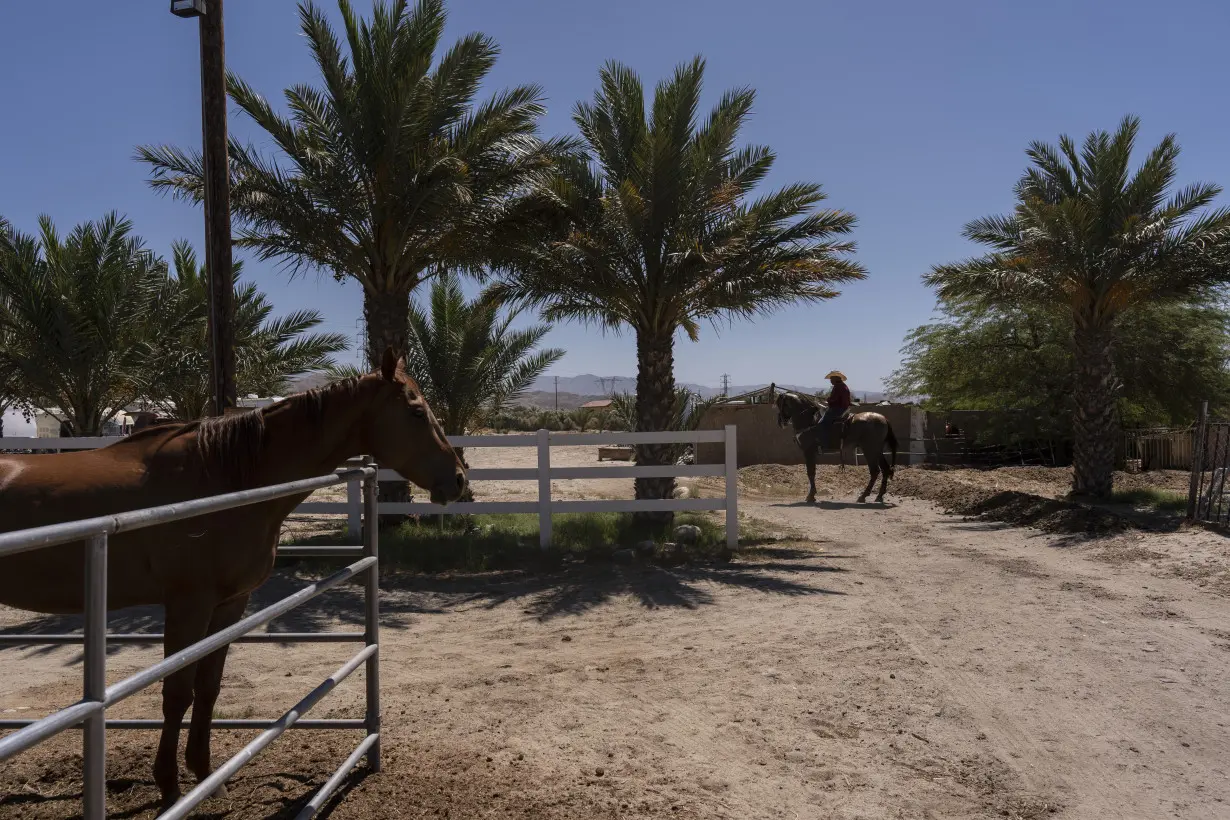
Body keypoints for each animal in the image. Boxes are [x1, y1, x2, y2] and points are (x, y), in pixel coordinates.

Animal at [0, 346, 464, 806]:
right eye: (417, 411)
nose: (459, 479)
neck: (223, 478)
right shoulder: (188, 604)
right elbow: (177, 692)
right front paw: (169, 786)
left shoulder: (228, 604)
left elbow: (208, 687)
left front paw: (207, 776)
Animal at [772, 388, 900, 504]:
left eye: (781, 404)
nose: (781, 422)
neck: (809, 420)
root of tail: (884, 419)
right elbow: (812, 472)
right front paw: (812, 495)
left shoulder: (808, 451)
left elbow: (810, 472)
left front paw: (811, 496)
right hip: (877, 450)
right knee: (885, 469)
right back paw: (879, 496)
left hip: (869, 450)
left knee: (875, 471)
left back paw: (863, 496)